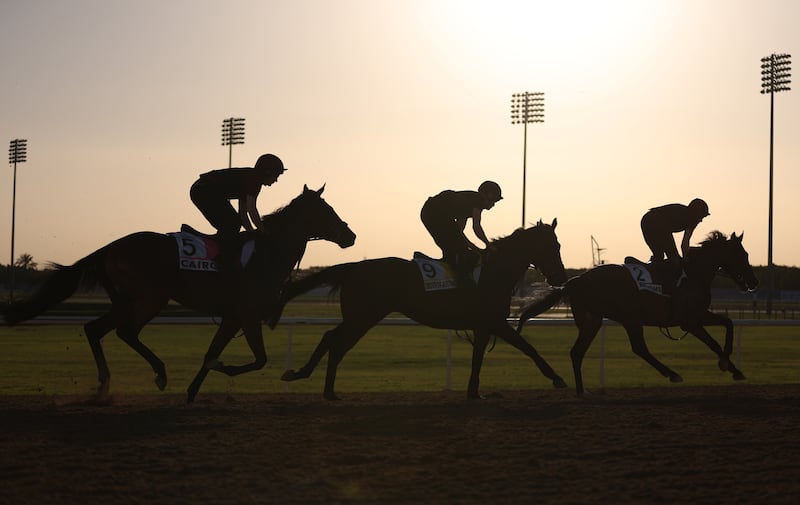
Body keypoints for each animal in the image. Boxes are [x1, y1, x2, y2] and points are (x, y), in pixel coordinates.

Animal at [268, 219, 568, 400]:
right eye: (553, 246)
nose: (560, 278)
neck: (494, 272)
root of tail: (354, 267)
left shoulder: (484, 326)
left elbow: (478, 358)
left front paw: (474, 392)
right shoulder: (495, 322)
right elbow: (529, 348)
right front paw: (557, 378)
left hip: (361, 317)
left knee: (336, 342)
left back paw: (325, 388)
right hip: (363, 316)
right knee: (334, 340)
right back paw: (307, 378)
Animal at [516, 230, 760, 396]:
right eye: (742, 255)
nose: (754, 282)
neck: (695, 273)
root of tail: (576, 281)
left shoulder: (699, 315)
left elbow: (728, 323)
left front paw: (733, 368)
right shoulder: (689, 321)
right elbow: (714, 343)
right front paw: (727, 365)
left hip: (593, 321)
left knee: (577, 352)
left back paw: (581, 391)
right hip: (630, 318)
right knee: (639, 348)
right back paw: (672, 374)